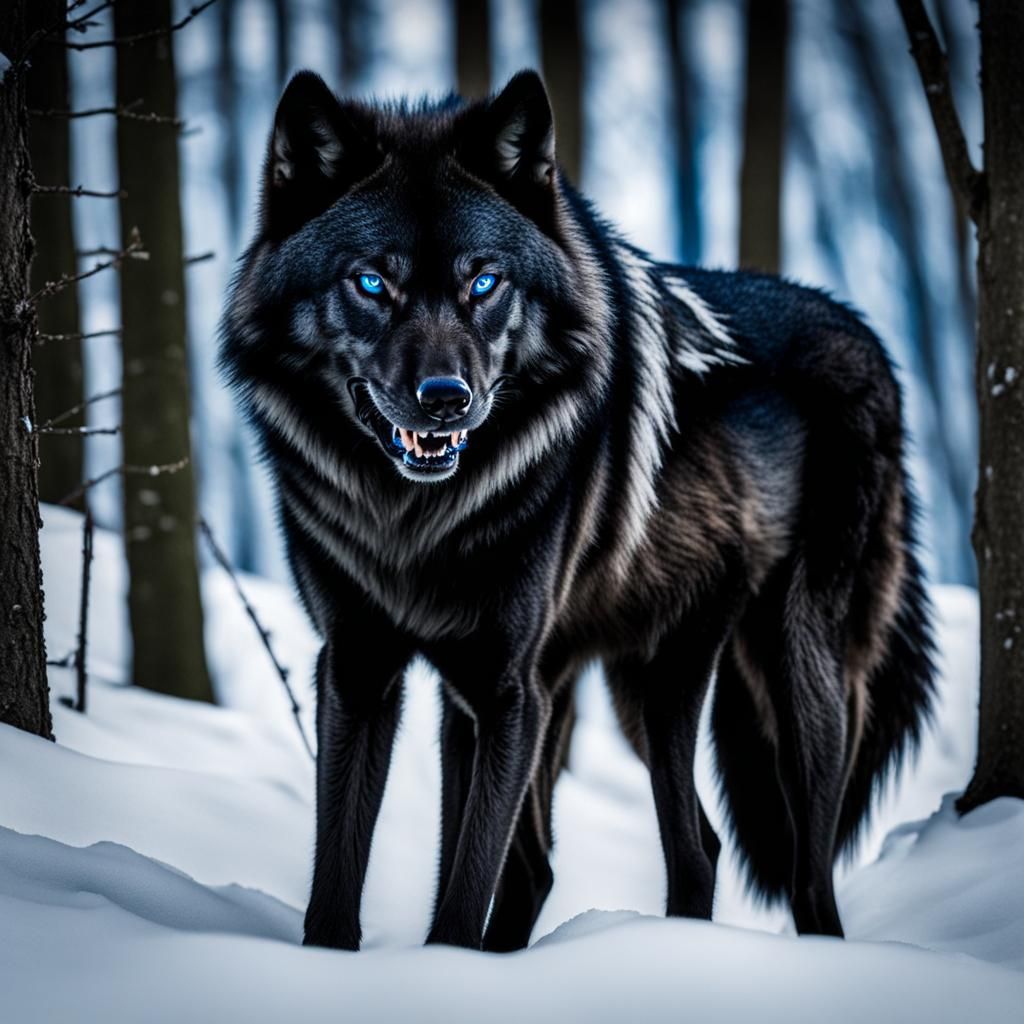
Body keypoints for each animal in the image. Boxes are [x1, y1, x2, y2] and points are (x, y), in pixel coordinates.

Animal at [220, 69, 935, 951]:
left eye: (483, 282)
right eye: (372, 282)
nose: (447, 400)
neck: (415, 523)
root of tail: (866, 335)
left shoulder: (504, 686)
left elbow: (466, 888)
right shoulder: (365, 668)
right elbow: (342, 882)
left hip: (758, 679)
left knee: (776, 865)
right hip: (609, 691)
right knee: (629, 855)